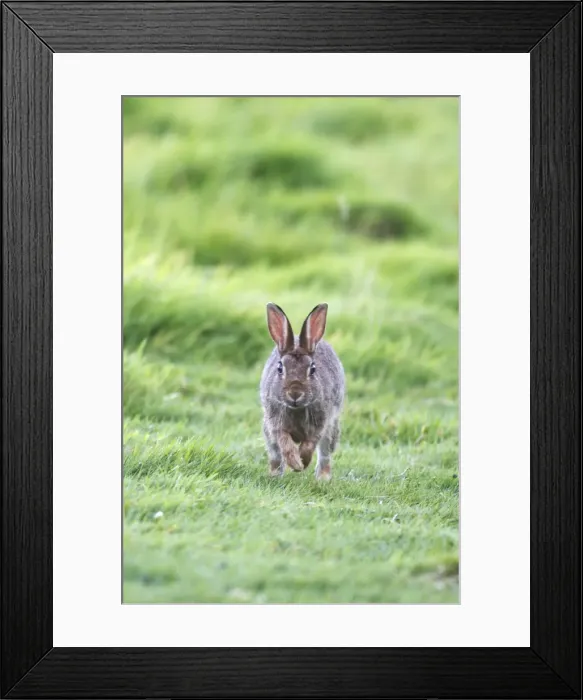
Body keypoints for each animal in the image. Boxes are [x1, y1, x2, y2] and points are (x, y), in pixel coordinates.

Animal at [260, 302, 345, 481]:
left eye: (312, 369)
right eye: (280, 368)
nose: (295, 394)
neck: (296, 409)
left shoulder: (320, 424)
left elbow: (309, 445)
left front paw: (302, 463)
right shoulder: (275, 423)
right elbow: (285, 443)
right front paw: (295, 463)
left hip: (331, 429)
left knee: (325, 455)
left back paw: (323, 479)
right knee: (275, 456)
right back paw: (274, 475)